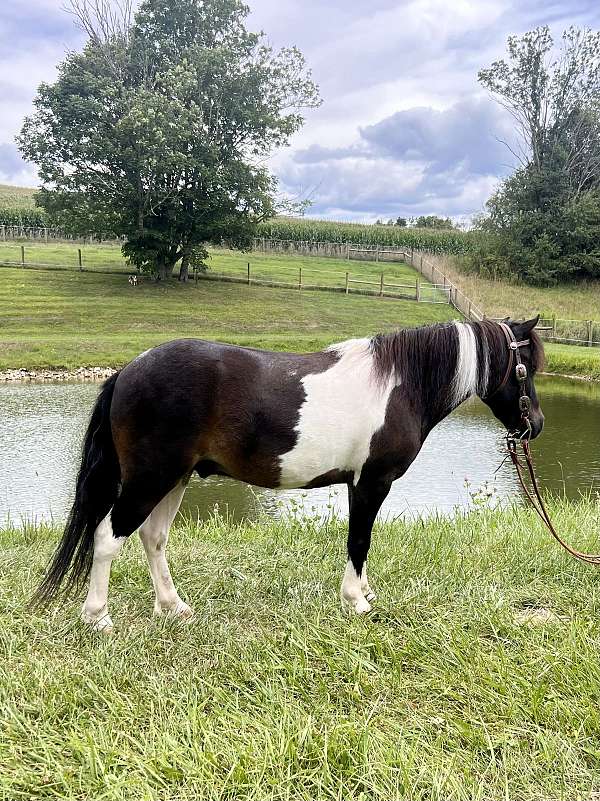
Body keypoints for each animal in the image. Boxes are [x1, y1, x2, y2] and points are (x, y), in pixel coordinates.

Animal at [35, 316, 548, 628]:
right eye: (525, 368)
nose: (536, 425)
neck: (399, 385)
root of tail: (127, 371)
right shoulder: (371, 483)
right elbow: (359, 541)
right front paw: (356, 602)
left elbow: (360, 541)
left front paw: (363, 594)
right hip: (149, 479)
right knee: (107, 536)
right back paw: (98, 618)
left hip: (172, 479)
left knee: (152, 538)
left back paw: (173, 607)